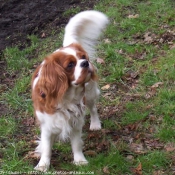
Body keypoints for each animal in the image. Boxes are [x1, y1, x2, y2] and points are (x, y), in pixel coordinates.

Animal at [31, 10, 108, 172]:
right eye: (70, 65)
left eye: (83, 57)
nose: (85, 63)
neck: (65, 97)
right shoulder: (47, 126)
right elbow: (46, 148)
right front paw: (43, 165)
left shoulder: (75, 122)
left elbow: (76, 144)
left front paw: (80, 161)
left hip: (90, 94)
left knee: (93, 109)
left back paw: (95, 124)